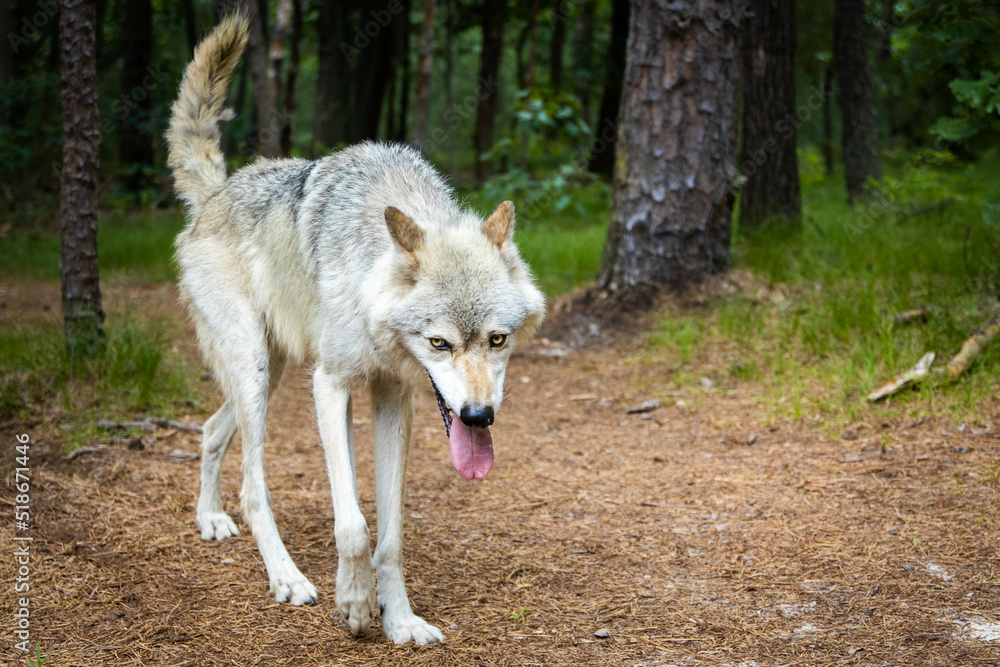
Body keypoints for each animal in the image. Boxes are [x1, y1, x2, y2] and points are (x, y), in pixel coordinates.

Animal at [166, 15, 544, 644]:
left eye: (498, 340)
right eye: (439, 342)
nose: (477, 417)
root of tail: (215, 195)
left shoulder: (394, 398)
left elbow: (389, 534)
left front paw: (401, 619)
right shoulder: (332, 385)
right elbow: (354, 524)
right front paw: (357, 603)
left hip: (269, 374)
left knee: (210, 430)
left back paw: (210, 519)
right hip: (258, 371)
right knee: (253, 486)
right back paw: (286, 577)